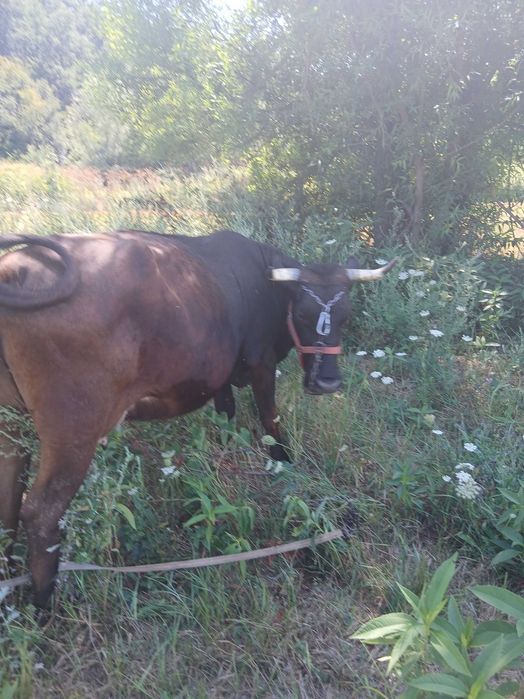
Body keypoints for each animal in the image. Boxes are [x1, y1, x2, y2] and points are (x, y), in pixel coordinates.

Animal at [0, 228, 396, 607]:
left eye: (345, 315)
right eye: (301, 313)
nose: (327, 382)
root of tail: (17, 268)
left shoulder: (220, 379)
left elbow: (227, 419)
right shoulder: (262, 364)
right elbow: (271, 421)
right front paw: (285, 464)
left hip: (11, 425)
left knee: (9, 497)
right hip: (73, 431)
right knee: (41, 512)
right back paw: (45, 603)